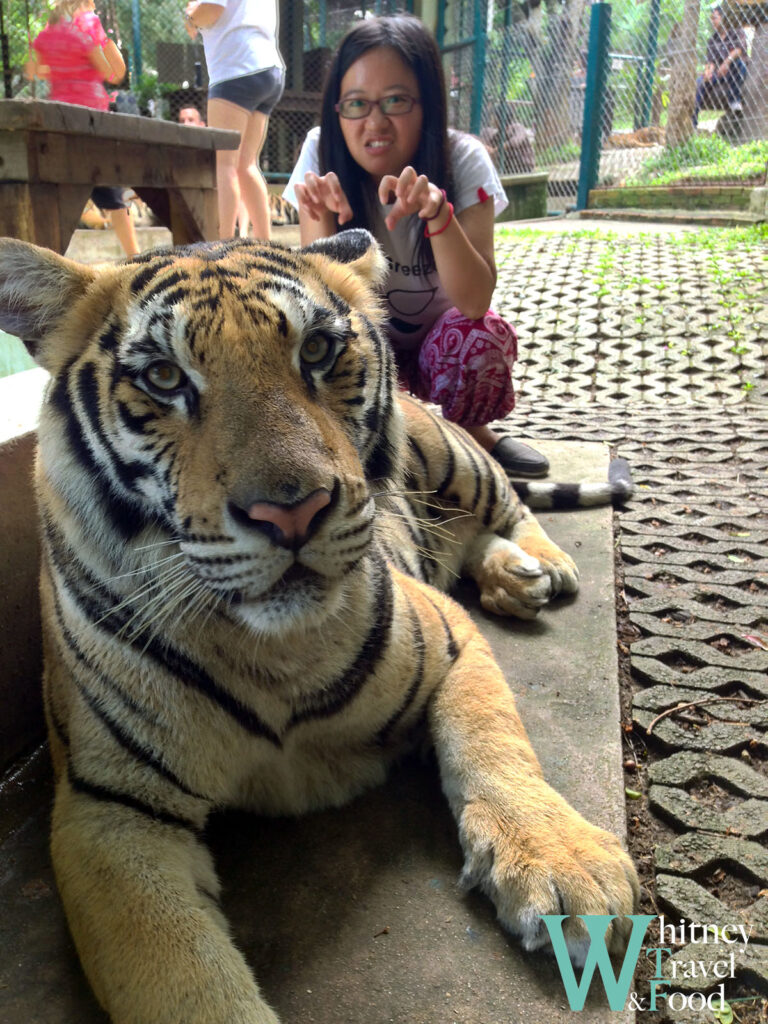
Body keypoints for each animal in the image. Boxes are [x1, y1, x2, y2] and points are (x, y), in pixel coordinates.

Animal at [0, 230, 638, 1024]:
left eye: (318, 351)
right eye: (163, 377)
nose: (292, 512)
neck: (269, 647)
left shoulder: (450, 638)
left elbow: (494, 743)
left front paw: (564, 864)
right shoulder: (110, 811)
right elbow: (183, 981)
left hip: (451, 454)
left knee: (506, 505)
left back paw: (542, 567)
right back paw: (512, 579)